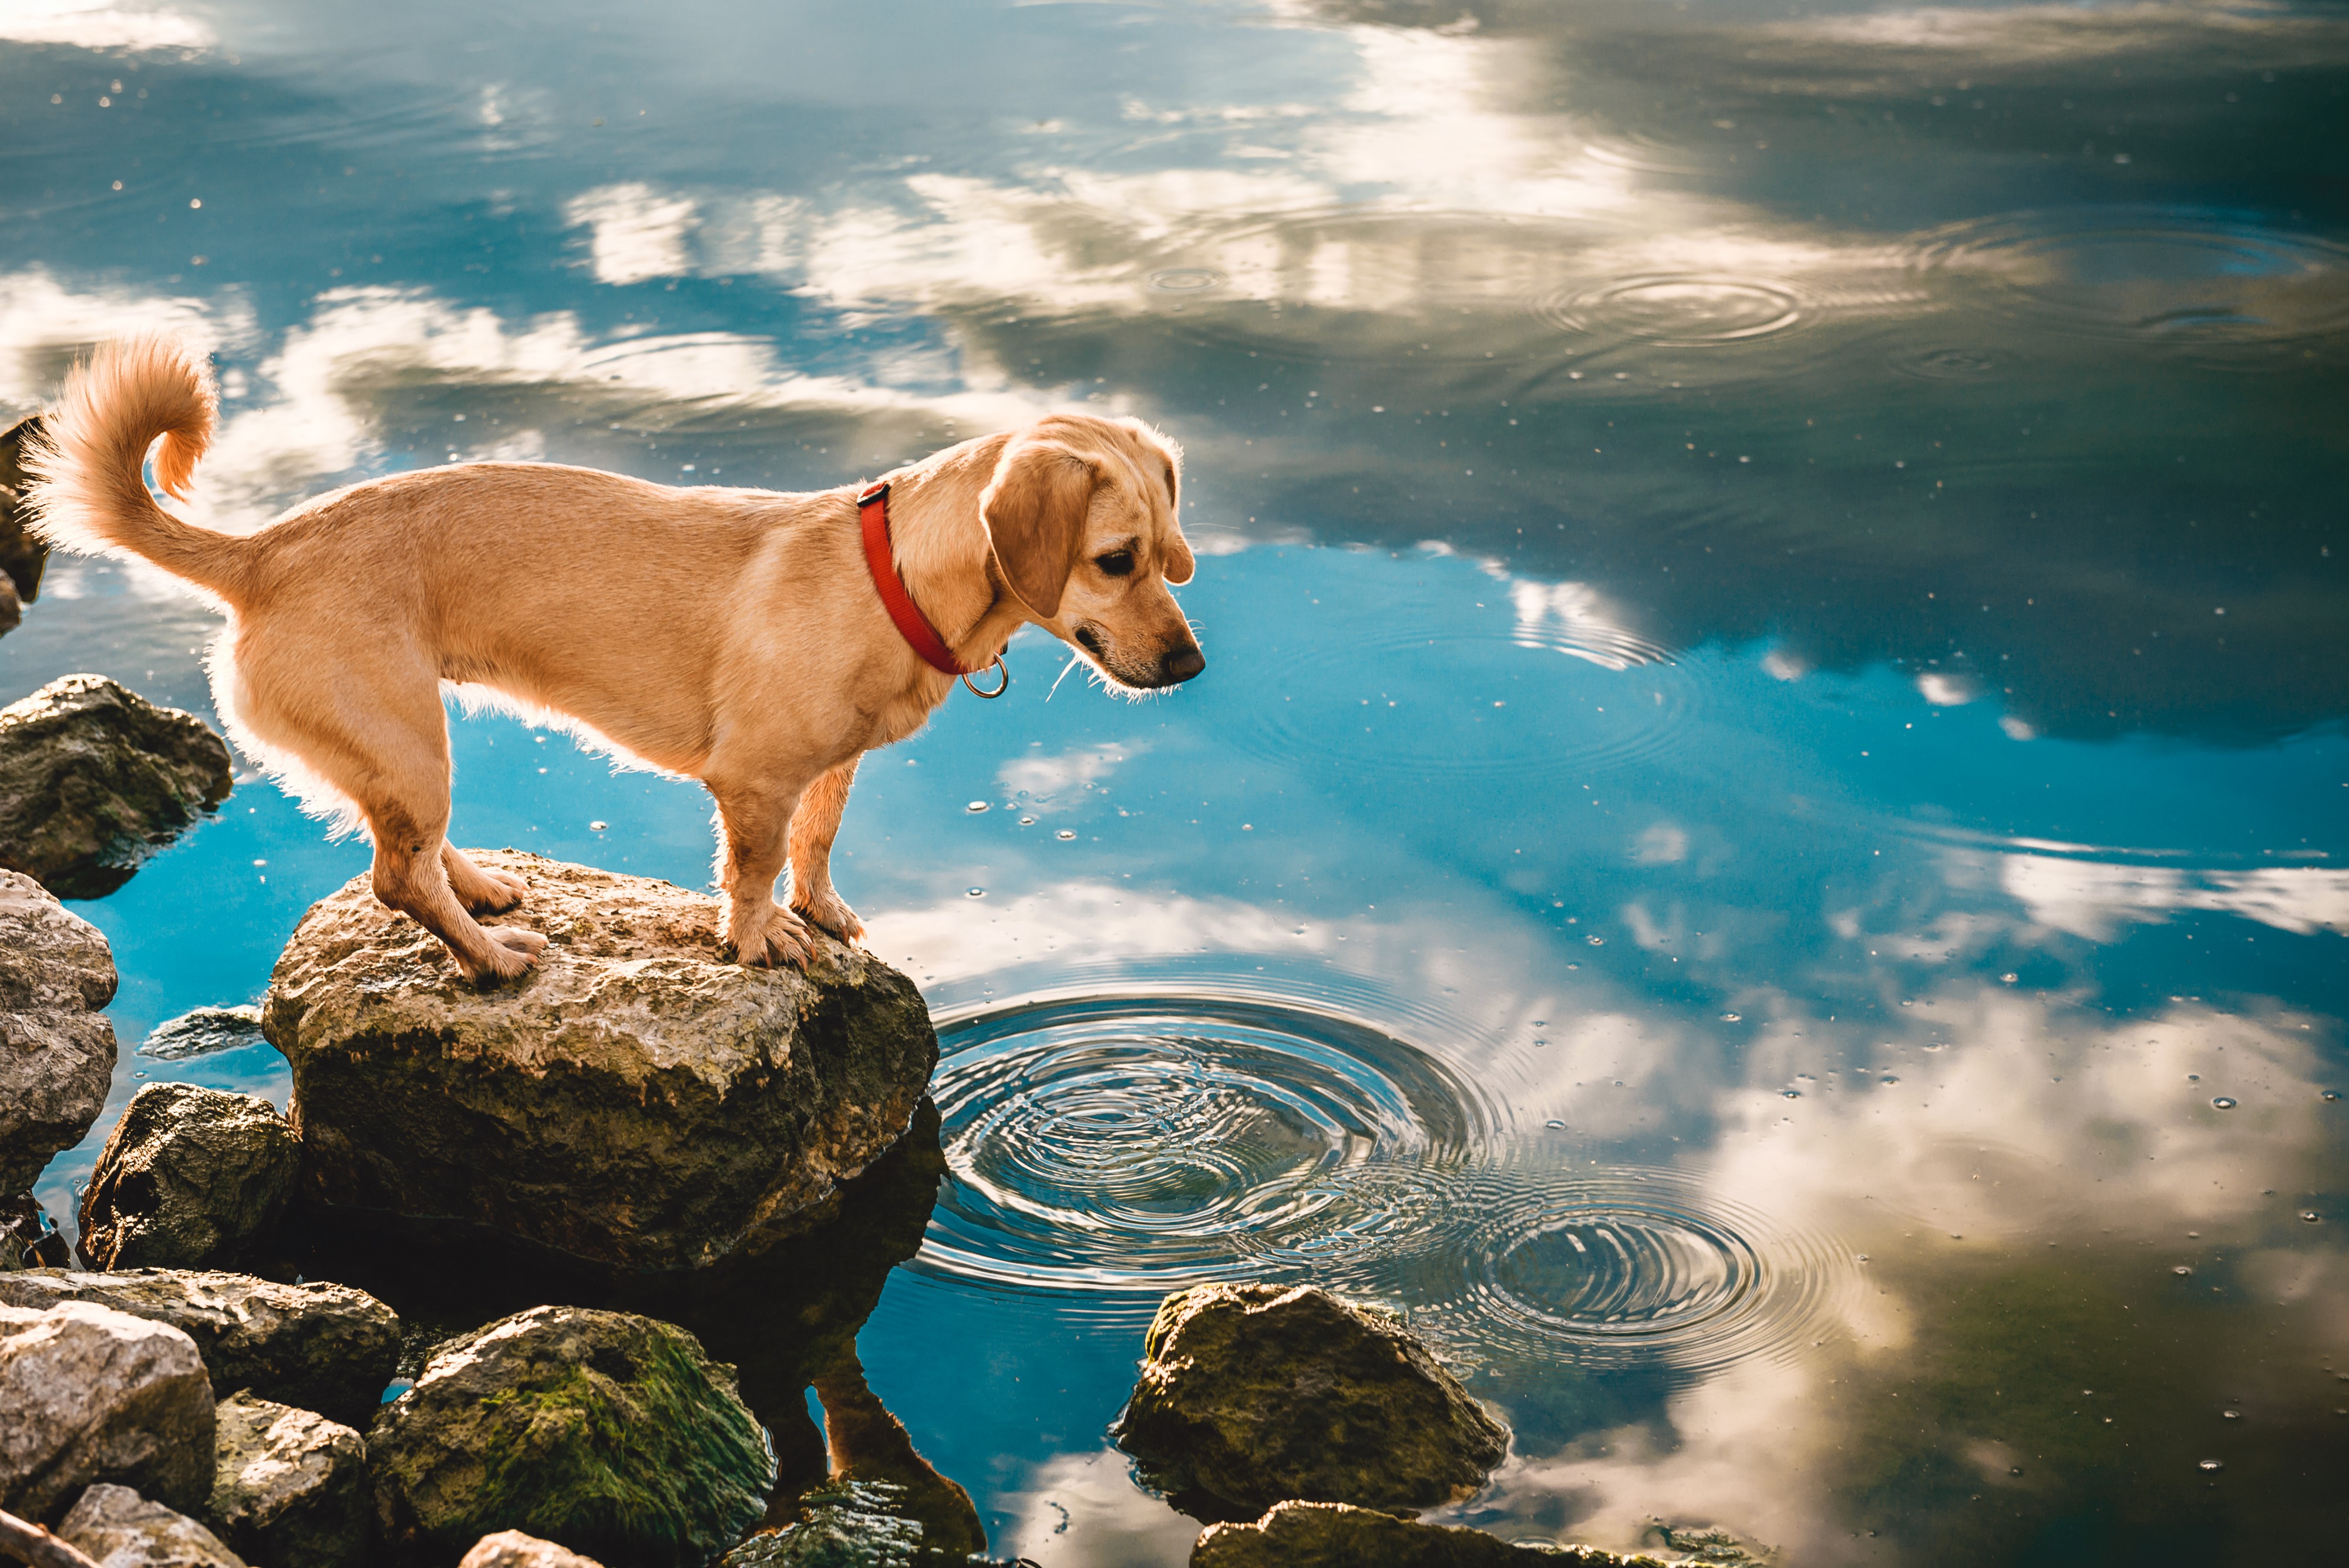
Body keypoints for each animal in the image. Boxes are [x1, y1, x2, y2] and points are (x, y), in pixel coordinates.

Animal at [32, 340, 1212, 981]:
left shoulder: (832, 767)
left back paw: (484, 892)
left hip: (407, 747)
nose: (1195, 666)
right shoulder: (754, 783)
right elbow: (753, 869)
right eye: (1115, 561)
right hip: (407, 737)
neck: (897, 576)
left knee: (415, 853)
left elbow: (820, 841)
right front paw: (761, 940)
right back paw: (490, 963)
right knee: (394, 876)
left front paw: (823, 912)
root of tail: (261, 551)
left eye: (1169, 554)